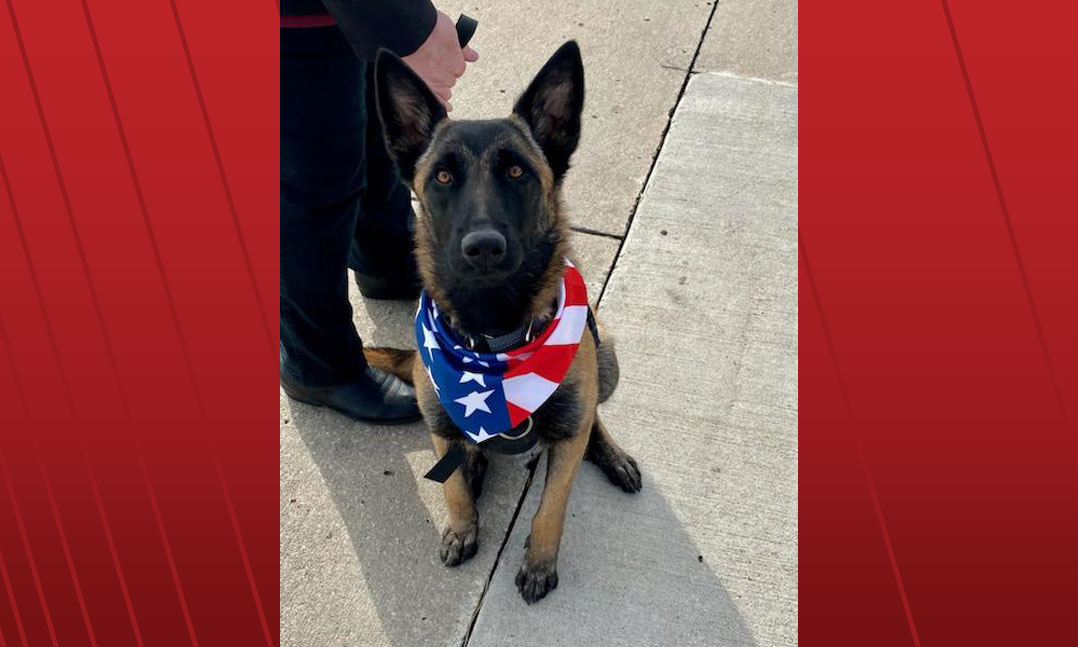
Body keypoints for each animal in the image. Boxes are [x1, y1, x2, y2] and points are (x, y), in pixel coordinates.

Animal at [368, 42, 638, 603]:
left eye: (517, 174)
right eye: (442, 177)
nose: (483, 247)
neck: (494, 340)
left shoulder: (567, 434)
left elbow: (552, 506)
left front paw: (539, 561)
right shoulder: (440, 422)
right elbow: (451, 485)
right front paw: (463, 523)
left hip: (607, 362)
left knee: (592, 418)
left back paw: (610, 452)